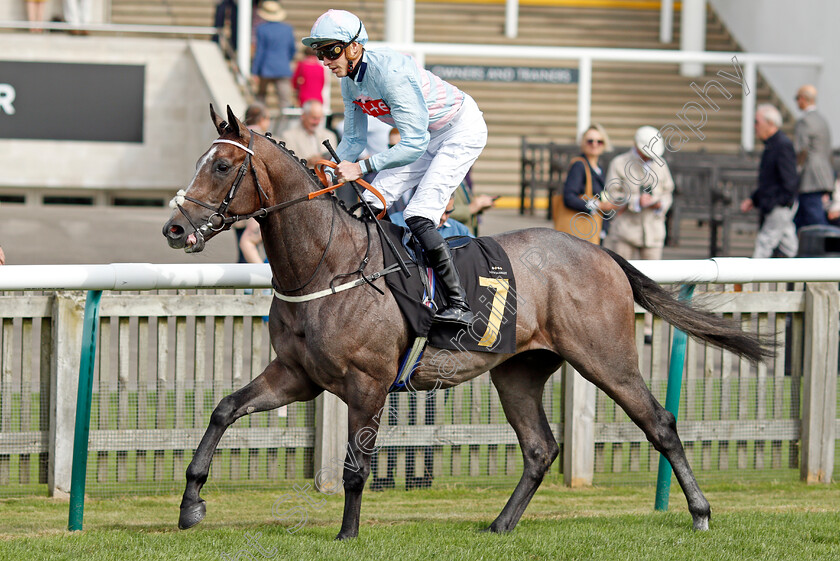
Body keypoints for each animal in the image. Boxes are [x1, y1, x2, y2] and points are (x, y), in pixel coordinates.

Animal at [162, 105, 776, 540]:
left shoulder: (368, 382)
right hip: (518, 370)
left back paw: (699, 512)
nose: (174, 227)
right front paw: (191, 504)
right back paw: (501, 524)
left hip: (607, 358)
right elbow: (223, 410)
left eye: (222, 165)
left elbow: (357, 465)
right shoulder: (297, 375)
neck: (328, 261)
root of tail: (600, 251)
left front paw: (347, 534)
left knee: (660, 424)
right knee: (539, 447)